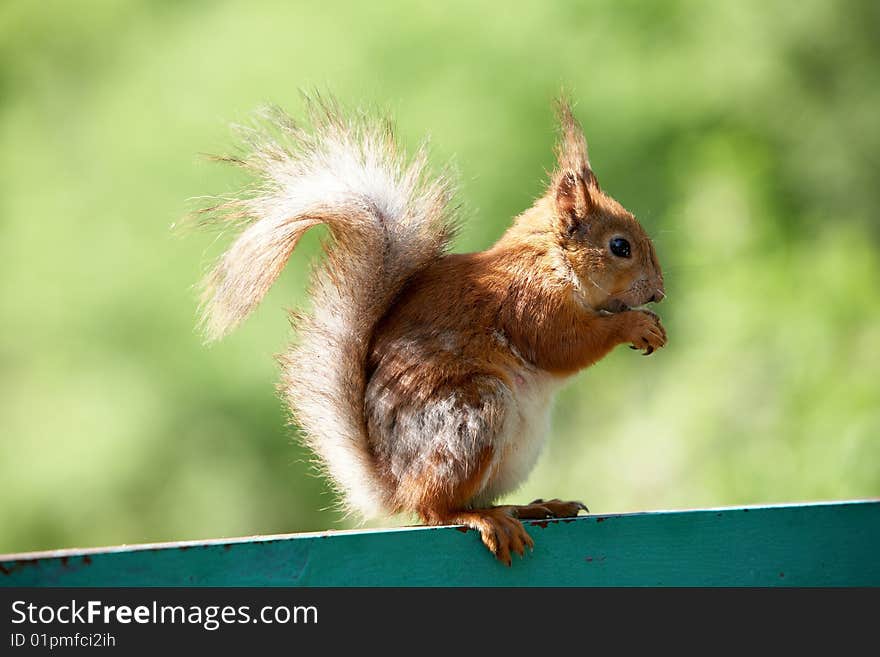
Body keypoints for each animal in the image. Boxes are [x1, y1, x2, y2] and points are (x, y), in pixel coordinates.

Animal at [194, 95, 668, 560]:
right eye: (620, 247)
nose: (659, 293)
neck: (549, 260)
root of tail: (394, 482)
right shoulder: (527, 304)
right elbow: (562, 345)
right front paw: (634, 325)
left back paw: (532, 507)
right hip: (470, 417)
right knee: (435, 509)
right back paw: (485, 519)